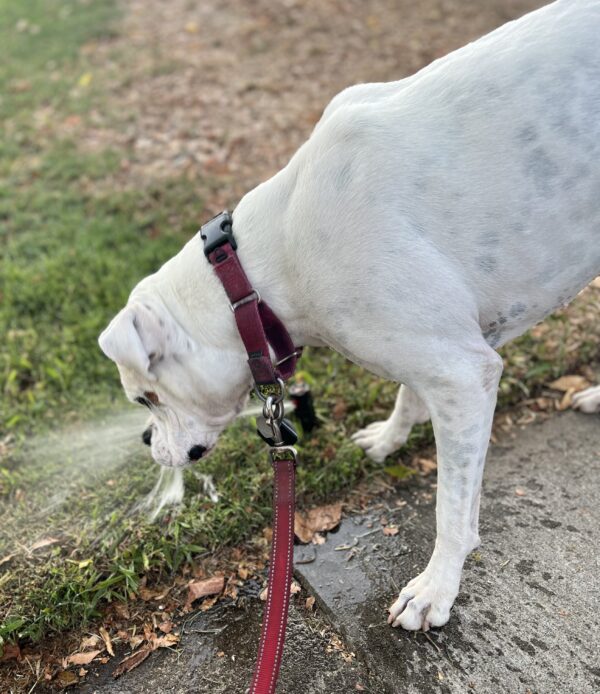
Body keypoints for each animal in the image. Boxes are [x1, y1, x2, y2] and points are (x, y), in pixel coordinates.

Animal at [101, 0, 600, 632]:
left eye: (146, 399)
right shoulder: (436, 353)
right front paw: (388, 439)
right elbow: (409, 395)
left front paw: (436, 588)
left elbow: (452, 505)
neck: (260, 274)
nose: (144, 437)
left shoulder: (464, 374)